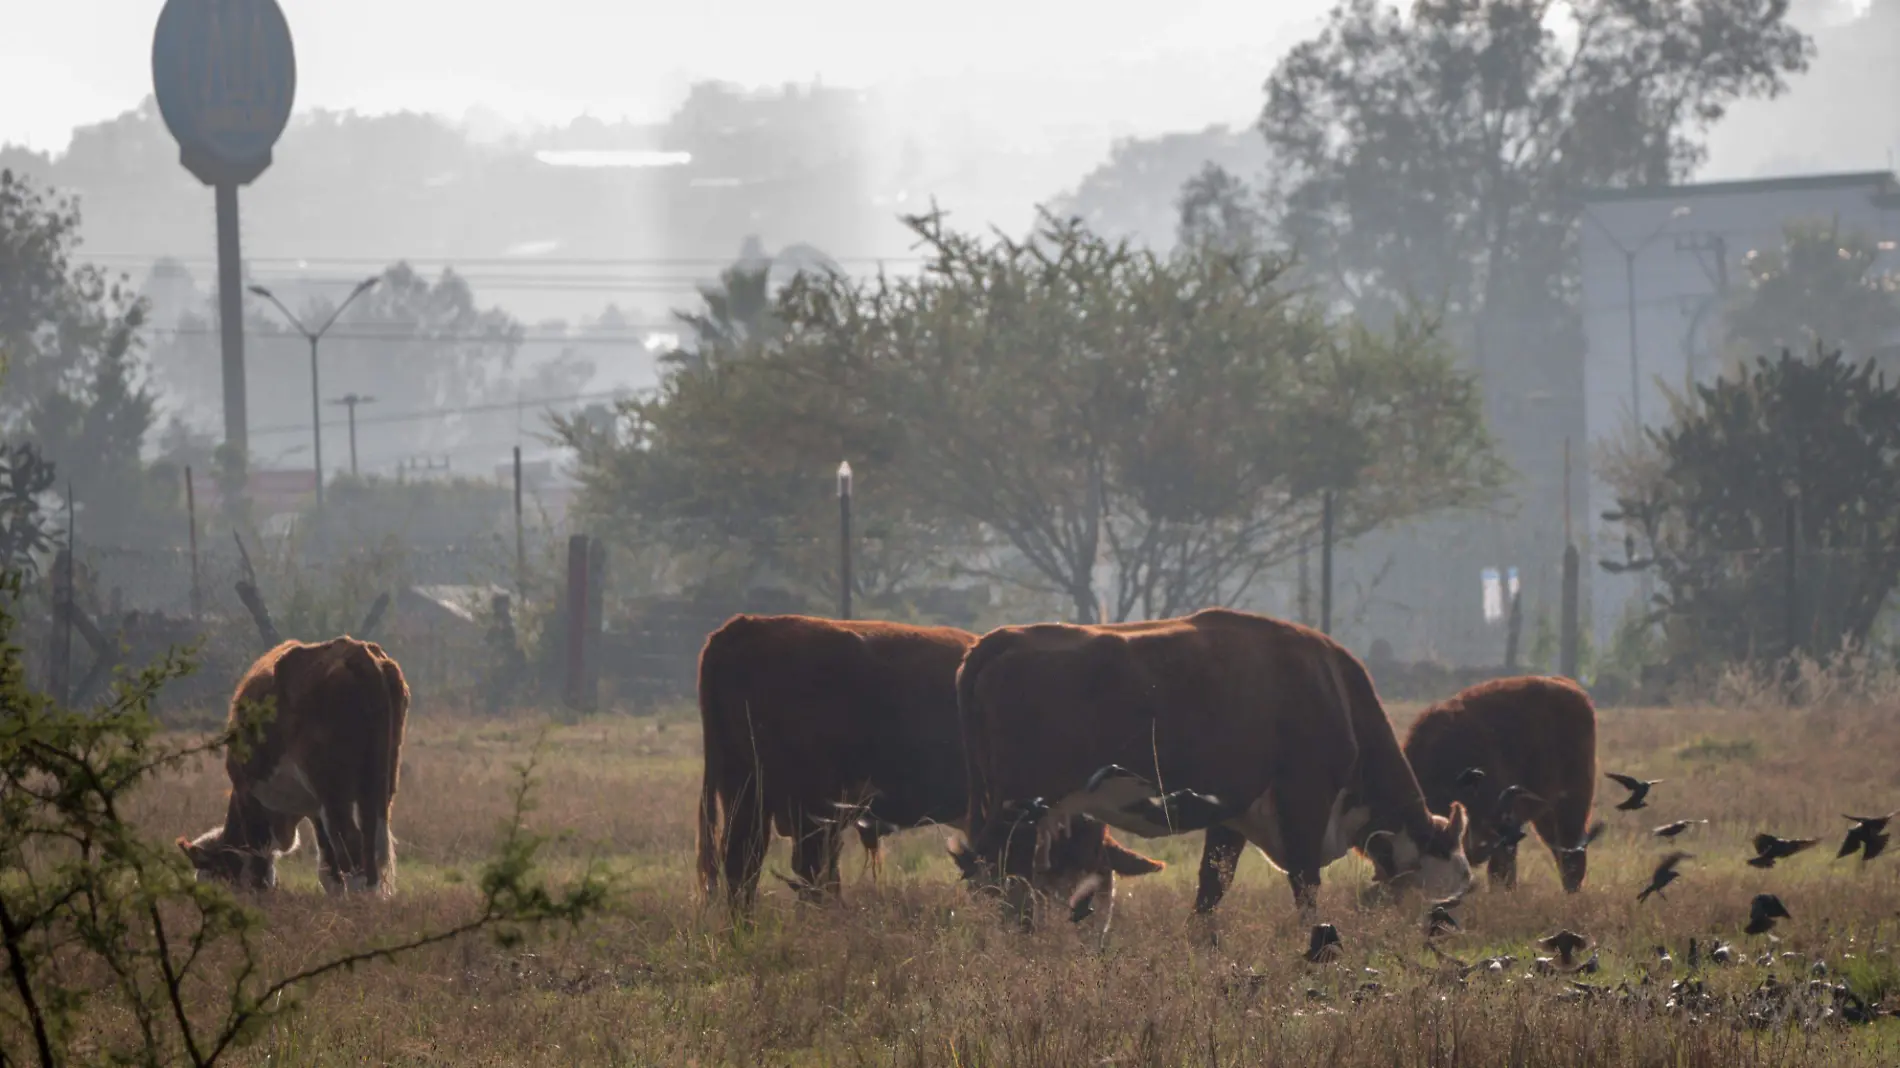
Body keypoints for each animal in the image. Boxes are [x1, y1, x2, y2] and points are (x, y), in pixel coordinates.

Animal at [178, 634, 408, 893]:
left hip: (333, 788)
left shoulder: (248, 793)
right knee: (371, 842)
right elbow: (328, 865)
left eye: (214, 877)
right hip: (379, 783)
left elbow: (259, 863)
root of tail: (356, 652)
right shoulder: (316, 809)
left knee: (351, 842)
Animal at [950, 608, 1466, 923]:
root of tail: (1000, 639)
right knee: (1003, 874)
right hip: (1022, 808)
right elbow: (1305, 883)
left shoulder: (1233, 813)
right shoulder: (1304, 799)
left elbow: (1212, 886)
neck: (1332, 688)